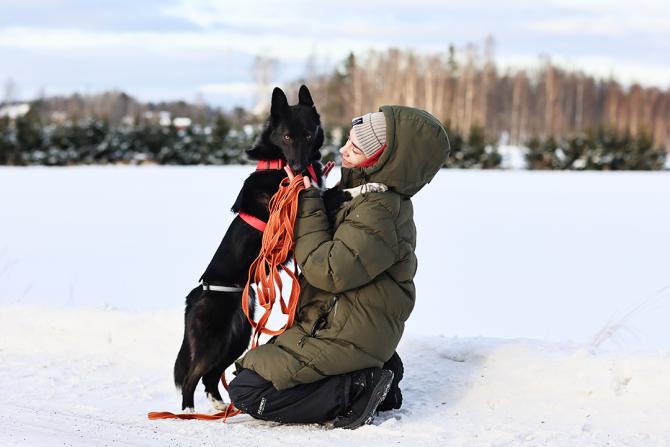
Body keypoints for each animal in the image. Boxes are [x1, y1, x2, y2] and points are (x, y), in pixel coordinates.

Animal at [173, 85, 328, 412]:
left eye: (308, 135)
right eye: (287, 137)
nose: (298, 167)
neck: (280, 166)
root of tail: (195, 296)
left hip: (236, 338)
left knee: (211, 376)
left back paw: (218, 406)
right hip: (213, 341)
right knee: (192, 377)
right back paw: (188, 412)